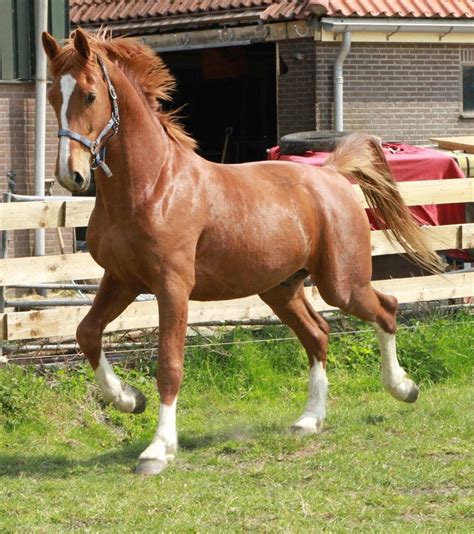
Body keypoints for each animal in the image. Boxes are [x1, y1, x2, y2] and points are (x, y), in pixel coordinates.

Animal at [42, 30, 442, 478]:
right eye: (53, 95)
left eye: (90, 95)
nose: (70, 175)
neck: (152, 186)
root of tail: (332, 173)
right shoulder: (121, 279)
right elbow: (87, 333)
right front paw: (129, 399)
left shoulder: (171, 287)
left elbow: (169, 365)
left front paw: (159, 449)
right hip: (281, 289)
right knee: (319, 333)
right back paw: (309, 420)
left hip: (341, 283)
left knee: (386, 309)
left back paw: (403, 388)